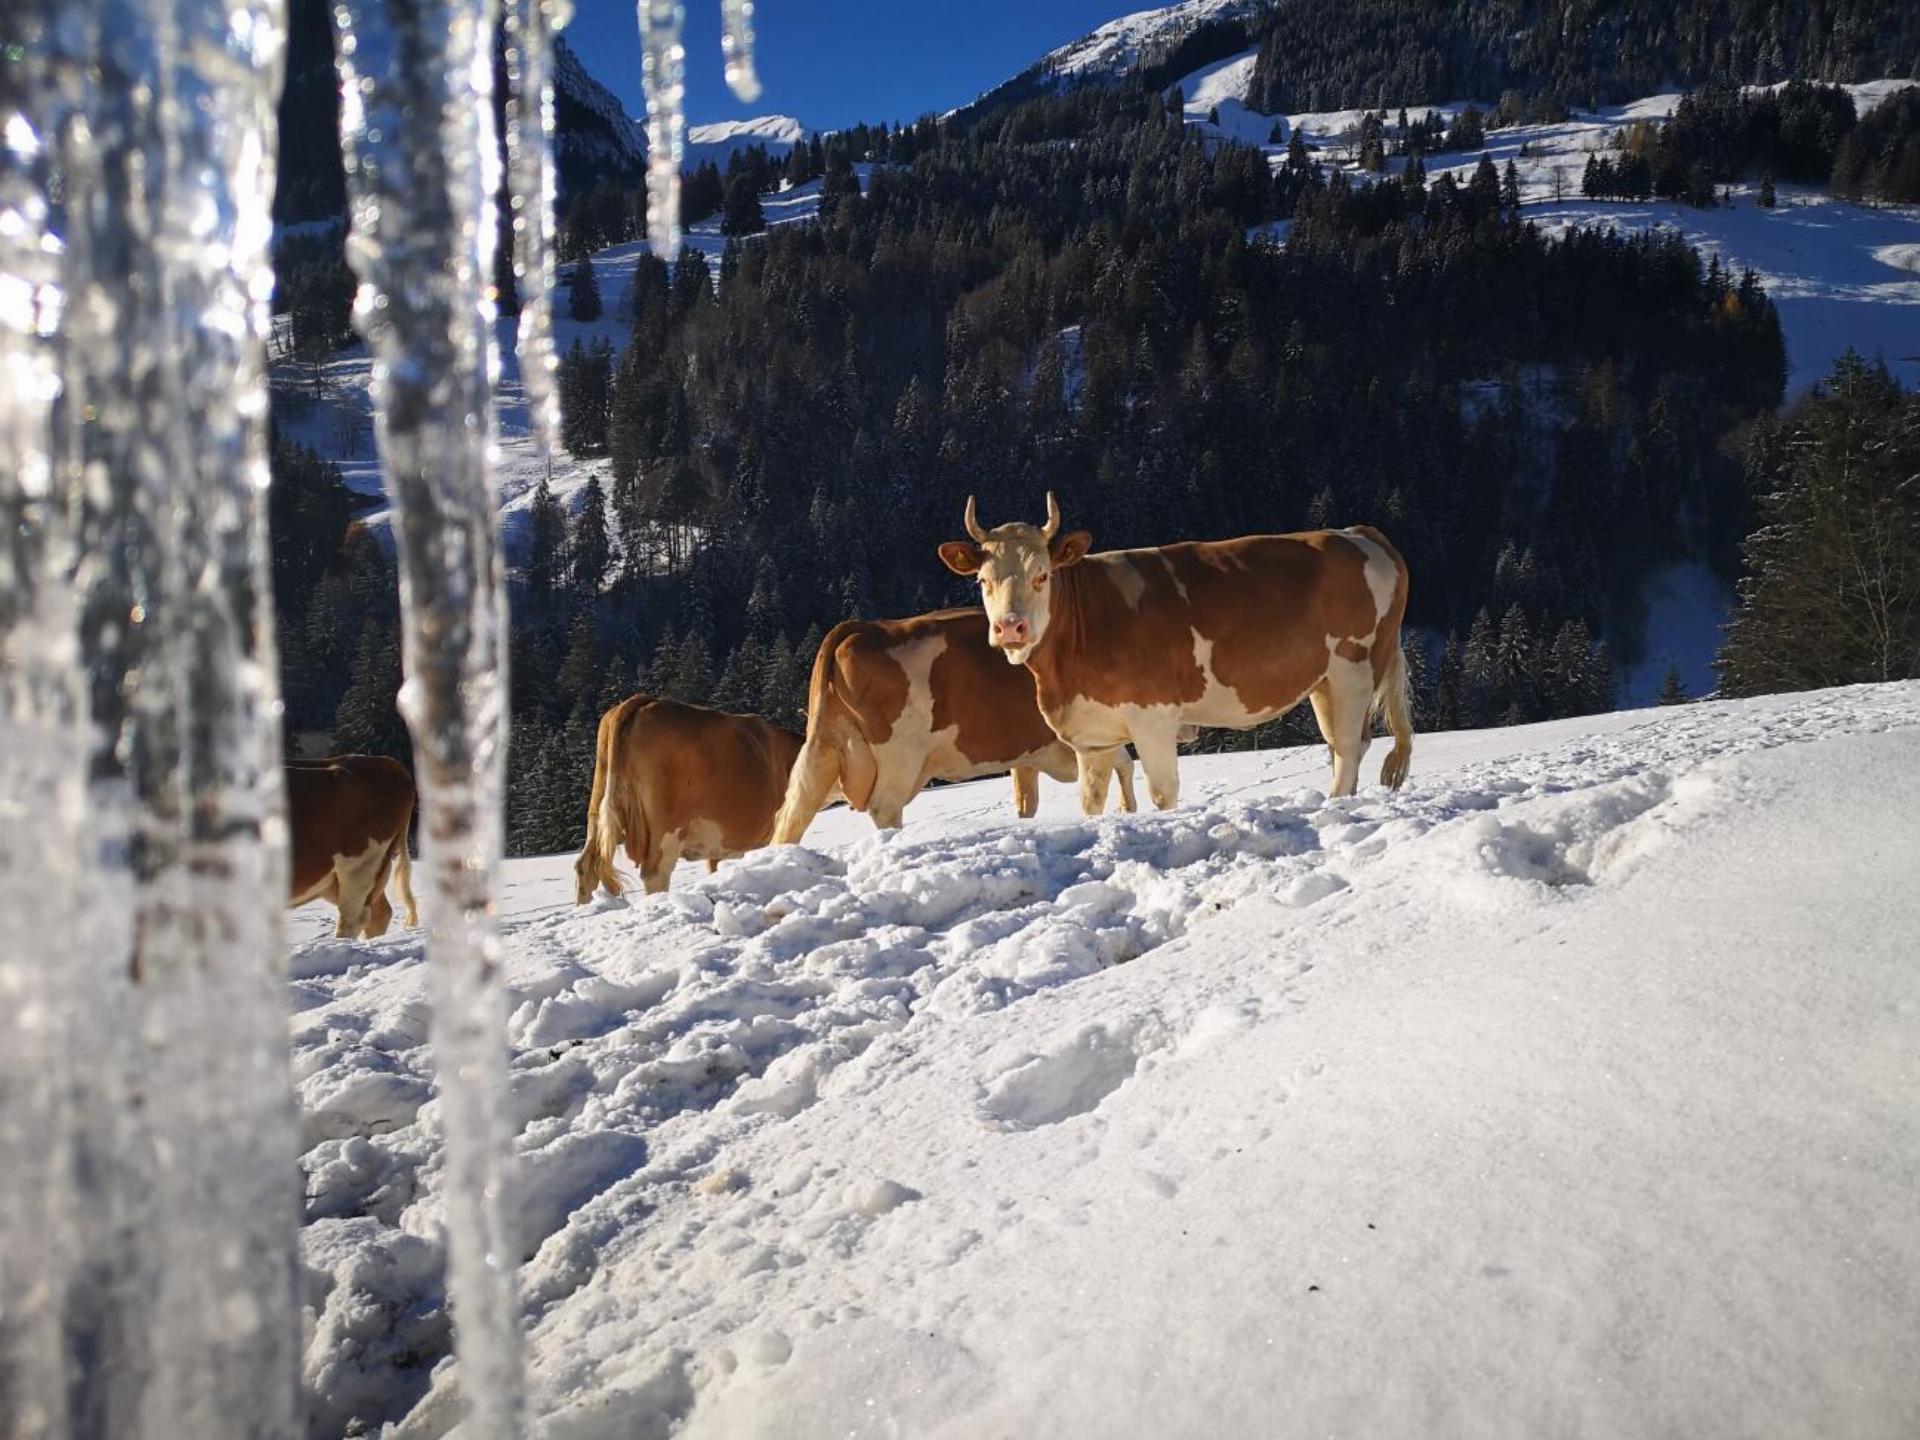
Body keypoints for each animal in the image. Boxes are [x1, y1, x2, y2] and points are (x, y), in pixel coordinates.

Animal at [764, 606, 1128, 844]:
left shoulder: (1030, 754)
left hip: (826, 751)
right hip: (899, 755)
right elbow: (1111, 774)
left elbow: (1028, 802)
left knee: (793, 814)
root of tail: (861, 628)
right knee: (885, 806)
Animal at [940, 495, 1413, 814]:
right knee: (1341, 744)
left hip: (1354, 669)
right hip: (1323, 682)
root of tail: (1357, 533)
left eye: (1042, 575)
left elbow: (1162, 793)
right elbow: (1092, 802)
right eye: (983, 580)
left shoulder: (1154, 718)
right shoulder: (1091, 735)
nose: (1010, 627)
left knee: (1348, 746)